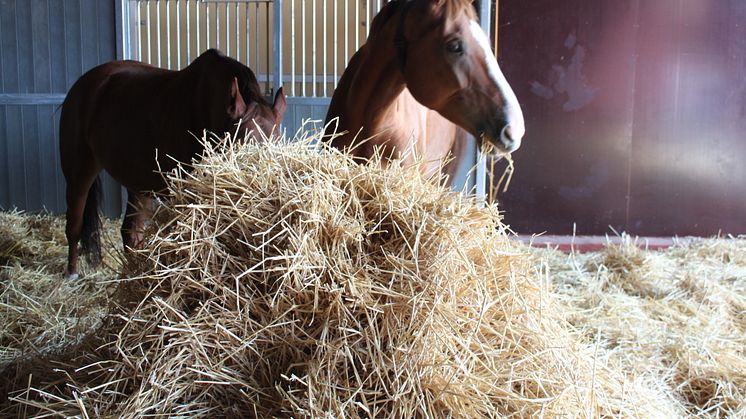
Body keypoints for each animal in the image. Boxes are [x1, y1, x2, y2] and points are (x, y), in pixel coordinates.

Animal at [58, 48, 284, 278]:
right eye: (242, 146)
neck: (203, 107)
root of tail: (82, 85)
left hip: (138, 183)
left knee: (130, 234)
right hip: (79, 172)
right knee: (74, 225)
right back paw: (72, 273)